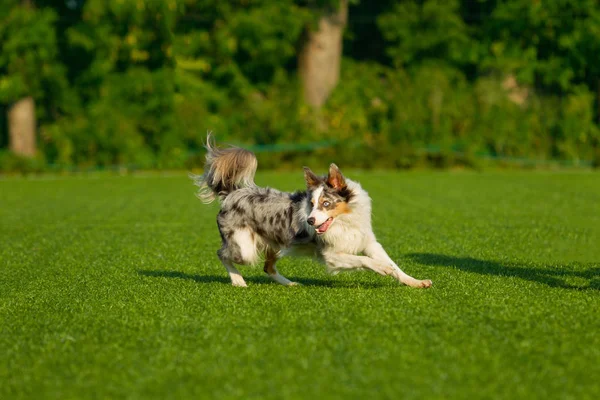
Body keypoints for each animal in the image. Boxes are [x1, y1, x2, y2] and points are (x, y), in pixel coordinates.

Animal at [192, 136, 432, 290]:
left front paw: (414, 281)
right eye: (312, 203)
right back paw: (238, 281)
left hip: (278, 245)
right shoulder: (331, 255)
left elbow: (394, 264)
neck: (344, 222)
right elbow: (364, 260)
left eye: (326, 203)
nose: (309, 220)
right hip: (245, 248)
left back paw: (290, 284)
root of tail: (231, 194)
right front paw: (381, 268)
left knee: (267, 267)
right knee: (221, 254)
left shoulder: (368, 242)